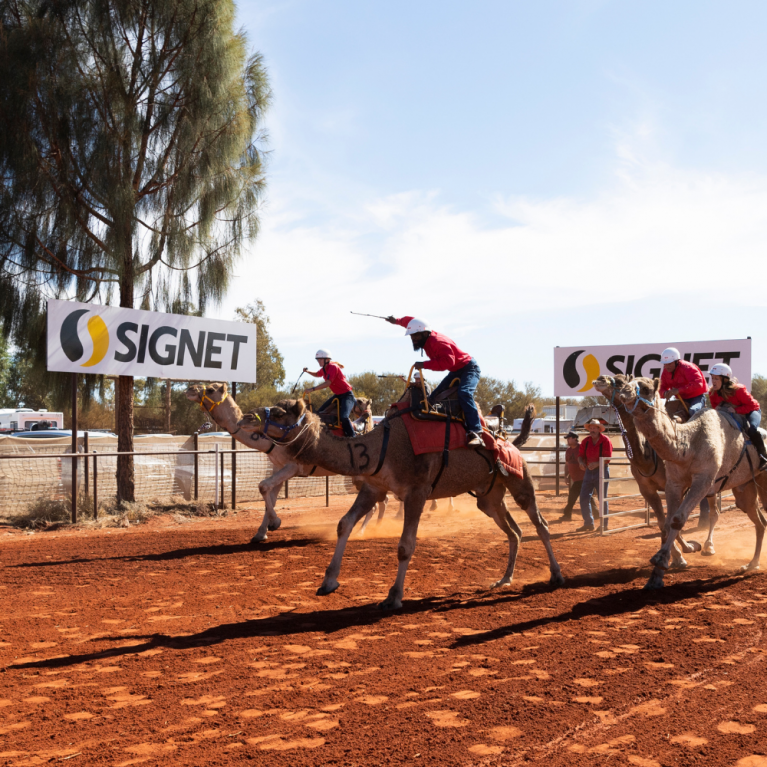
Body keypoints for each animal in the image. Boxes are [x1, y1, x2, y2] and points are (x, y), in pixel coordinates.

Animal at [183, 382, 380, 540]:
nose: (190, 389)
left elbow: (263, 486)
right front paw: (261, 533)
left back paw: (361, 532)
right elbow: (270, 494)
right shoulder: (277, 466)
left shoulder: (293, 466)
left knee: (375, 504)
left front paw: (275, 523)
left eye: (210, 389)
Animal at [237, 400, 568, 608]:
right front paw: (328, 581)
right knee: (514, 531)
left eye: (279, 411)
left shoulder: (416, 492)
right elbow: (344, 523)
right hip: (489, 496)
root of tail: (510, 441)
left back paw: (556, 575)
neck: (378, 448)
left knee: (539, 523)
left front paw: (393, 596)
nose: (245, 418)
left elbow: (405, 545)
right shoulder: (373, 486)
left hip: (519, 480)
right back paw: (504, 579)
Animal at [612, 376, 767, 588]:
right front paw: (657, 575)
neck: (689, 444)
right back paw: (752, 564)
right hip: (745, 487)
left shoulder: (703, 481)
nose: (624, 391)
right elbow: (668, 521)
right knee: (759, 520)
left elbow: (678, 519)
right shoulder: (674, 482)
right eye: (627, 381)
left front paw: (664, 559)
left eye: (645, 388)